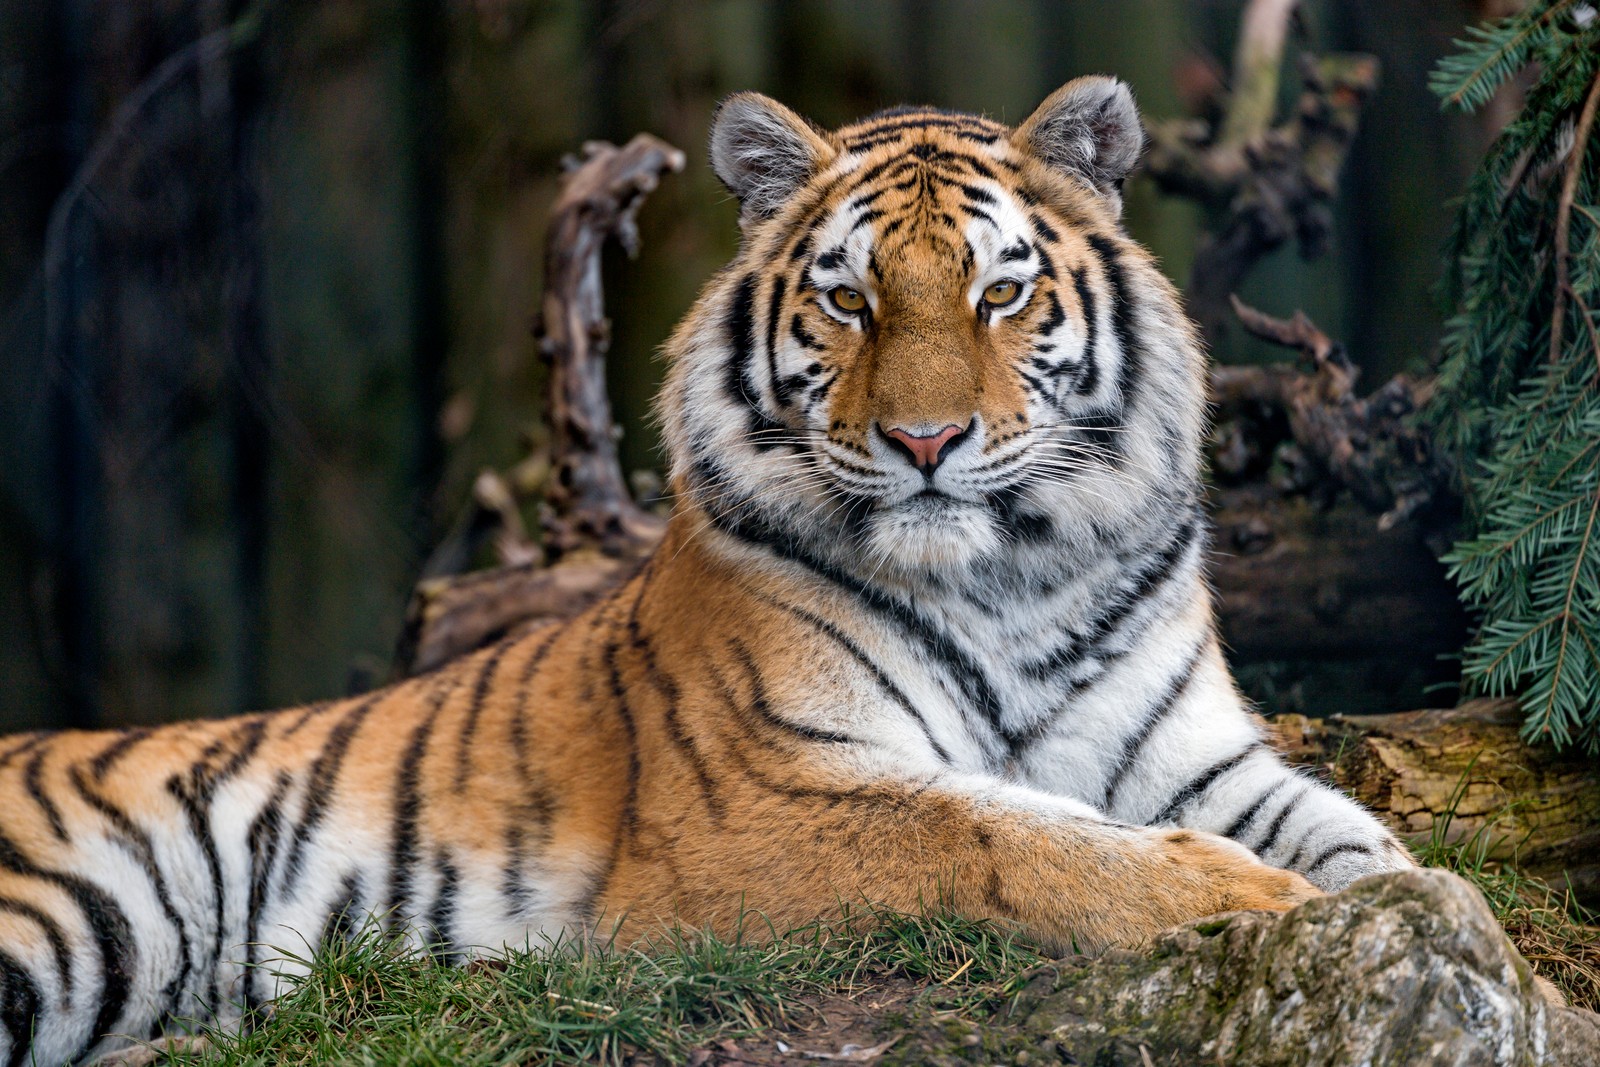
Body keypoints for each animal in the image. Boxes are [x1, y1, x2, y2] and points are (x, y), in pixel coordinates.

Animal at [0, 77, 1414, 1067]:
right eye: (849, 301)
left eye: (1000, 295)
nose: (925, 441)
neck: (1012, 578)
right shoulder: (761, 799)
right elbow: (1004, 830)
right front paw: (1241, 894)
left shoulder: (1201, 759)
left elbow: (1362, 840)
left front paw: (1396, 910)